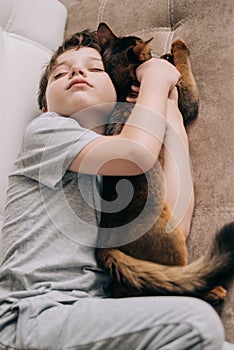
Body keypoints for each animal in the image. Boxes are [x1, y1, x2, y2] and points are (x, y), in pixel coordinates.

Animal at [95, 22, 234, 306]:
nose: (159, 52)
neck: (125, 91)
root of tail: (106, 244)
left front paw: (169, 54)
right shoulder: (185, 101)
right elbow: (184, 73)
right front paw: (177, 47)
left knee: (121, 288)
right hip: (171, 239)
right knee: (174, 282)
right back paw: (213, 291)